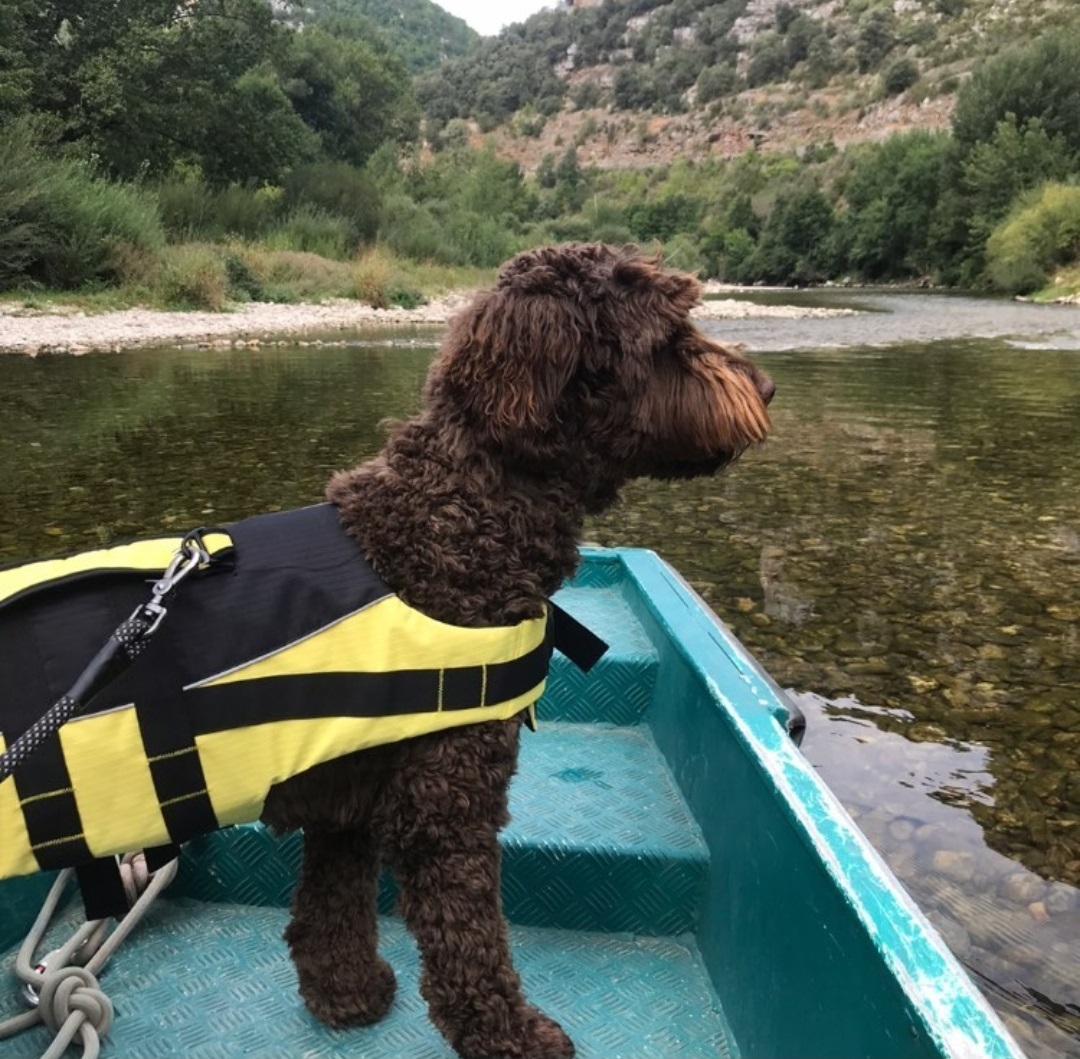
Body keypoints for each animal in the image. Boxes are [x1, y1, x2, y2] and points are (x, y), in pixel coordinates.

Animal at [257, 241, 773, 1057]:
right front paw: (514, 1037)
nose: (770, 387)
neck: (459, 514)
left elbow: (329, 911)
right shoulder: (446, 805)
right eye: (667, 335)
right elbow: (470, 950)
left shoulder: (349, 801)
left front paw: (346, 994)